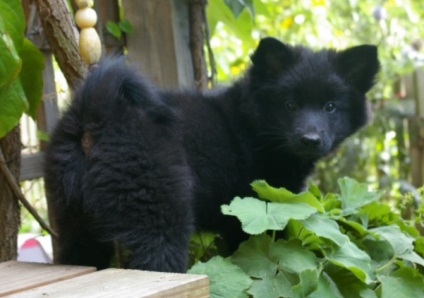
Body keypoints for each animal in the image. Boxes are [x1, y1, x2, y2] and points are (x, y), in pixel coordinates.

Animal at [44, 37, 380, 272]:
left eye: (330, 107)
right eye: (290, 105)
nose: (310, 139)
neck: (254, 126)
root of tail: (98, 111)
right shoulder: (261, 209)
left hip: (75, 219)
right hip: (159, 214)